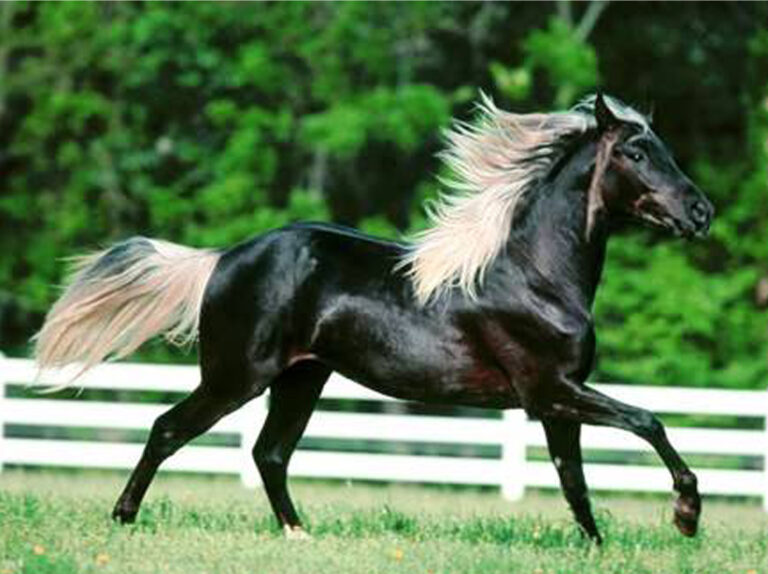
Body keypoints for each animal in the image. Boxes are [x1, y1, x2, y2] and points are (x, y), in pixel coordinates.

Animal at [34, 93, 714, 544]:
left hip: (301, 378)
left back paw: (300, 536)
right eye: (636, 152)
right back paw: (123, 519)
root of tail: (223, 258)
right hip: (237, 378)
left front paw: (597, 547)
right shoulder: (551, 389)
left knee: (269, 454)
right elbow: (648, 422)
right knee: (168, 429)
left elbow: (573, 480)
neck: (535, 274)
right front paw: (686, 516)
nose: (701, 213)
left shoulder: (555, 400)